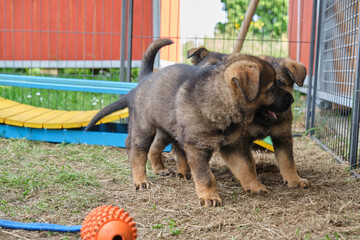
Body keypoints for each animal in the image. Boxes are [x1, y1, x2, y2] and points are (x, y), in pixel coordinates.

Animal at [86, 39, 292, 206]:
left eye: (280, 82)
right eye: (271, 88)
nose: (291, 100)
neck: (220, 101)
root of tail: (144, 80)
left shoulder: (232, 146)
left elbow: (246, 168)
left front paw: (256, 187)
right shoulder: (196, 147)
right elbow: (205, 176)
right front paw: (209, 197)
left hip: (167, 129)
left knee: (154, 147)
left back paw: (161, 169)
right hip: (144, 127)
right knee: (136, 150)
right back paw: (140, 180)